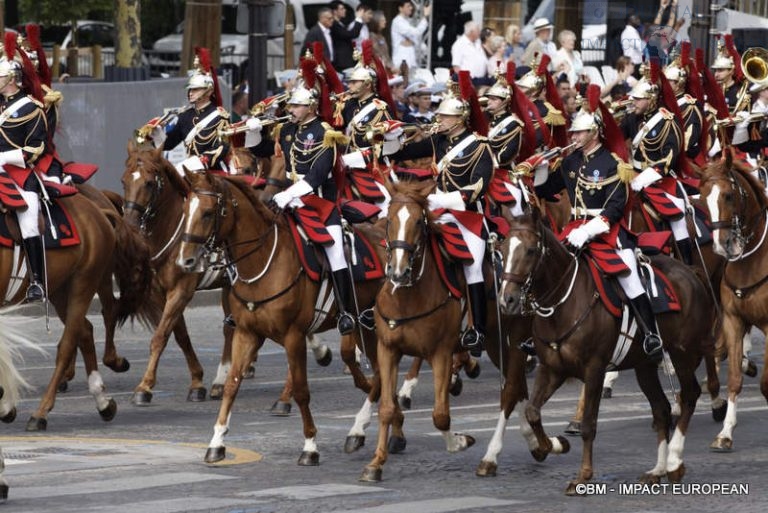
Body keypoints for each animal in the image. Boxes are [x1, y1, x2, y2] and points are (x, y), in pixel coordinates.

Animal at [0, 188, 153, 428]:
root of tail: (97, 210)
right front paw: (6, 405)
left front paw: (6, 405)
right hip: (60, 291)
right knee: (86, 332)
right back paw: (102, 401)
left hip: (84, 283)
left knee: (69, 343)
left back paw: (41, 413)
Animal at [121, 146, 332, 406]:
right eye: (124, 182)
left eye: (150, 183)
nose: (130, 224)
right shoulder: (161, 292)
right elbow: (179, 335)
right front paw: (196, 381)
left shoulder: (181, 290)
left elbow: (161, 336)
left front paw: (145, 386)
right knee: (231, 329)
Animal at [178, 169, 384, 464]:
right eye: (185, 210)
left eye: (207, 213)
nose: (185, 261)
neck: (264, 261)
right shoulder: (247, 333)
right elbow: (232, 384)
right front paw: (216, 442)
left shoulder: (293, 335)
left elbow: (301, 390)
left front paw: (310, 446)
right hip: (363, 327)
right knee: (379, 374)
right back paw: (363, 428)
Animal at [500, 209, 716, 492]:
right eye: (503, 249)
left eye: (531, 250)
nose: (507, 300)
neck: (562, 305)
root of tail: (690, 271)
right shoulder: (552, 369)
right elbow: (532, 412)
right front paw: (553, 445)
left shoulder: (595, 369)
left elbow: (588, 424)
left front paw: (583, 475)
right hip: (644, 366)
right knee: (661, 410)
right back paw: (657, 469)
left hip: (683, 353)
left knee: (689, 395)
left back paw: (674, 462)